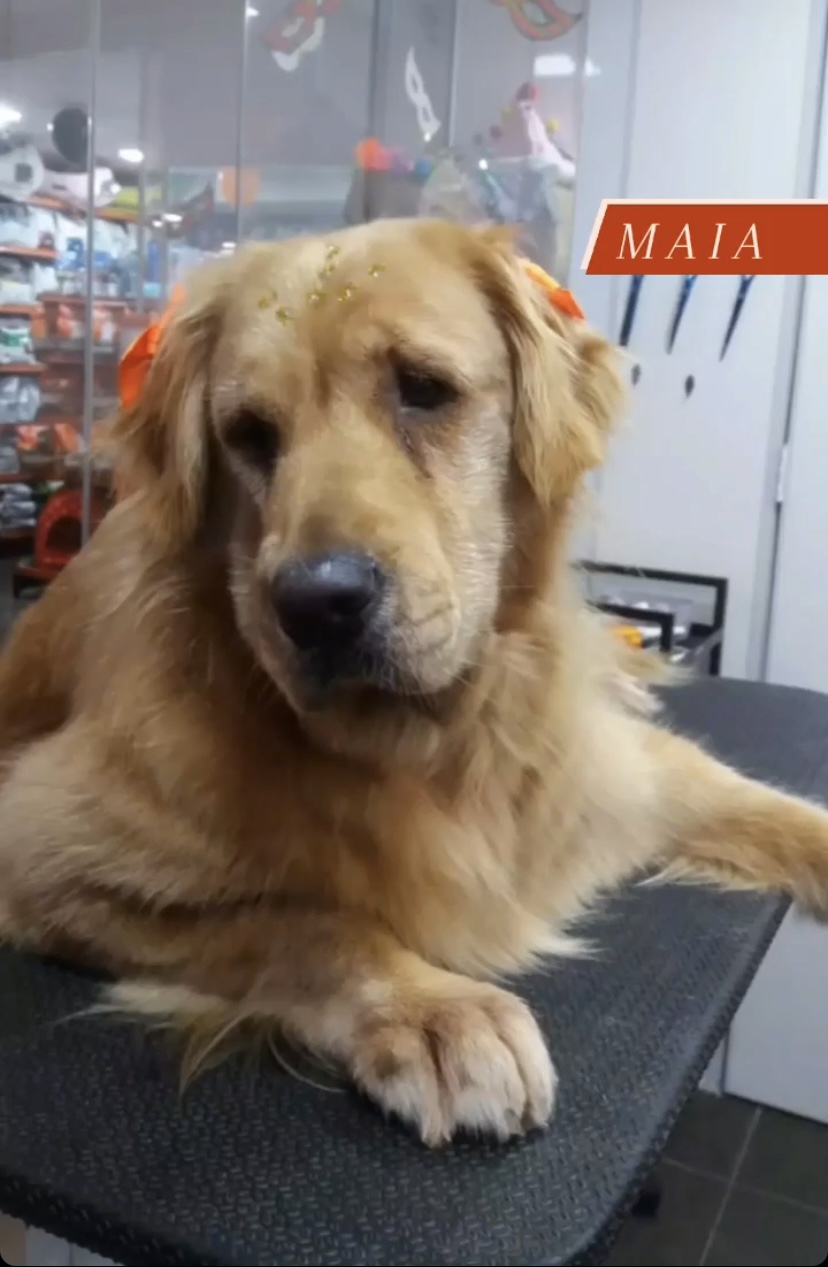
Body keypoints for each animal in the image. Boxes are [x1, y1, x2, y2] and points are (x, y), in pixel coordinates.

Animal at [0, 218, 826, 1147]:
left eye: (424, 390)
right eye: (249, 434)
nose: (317, 604)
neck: (440, 741)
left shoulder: (608, 773)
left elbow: (768, 803)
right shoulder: (38, 842)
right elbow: (312, 921)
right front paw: (436, 1009)